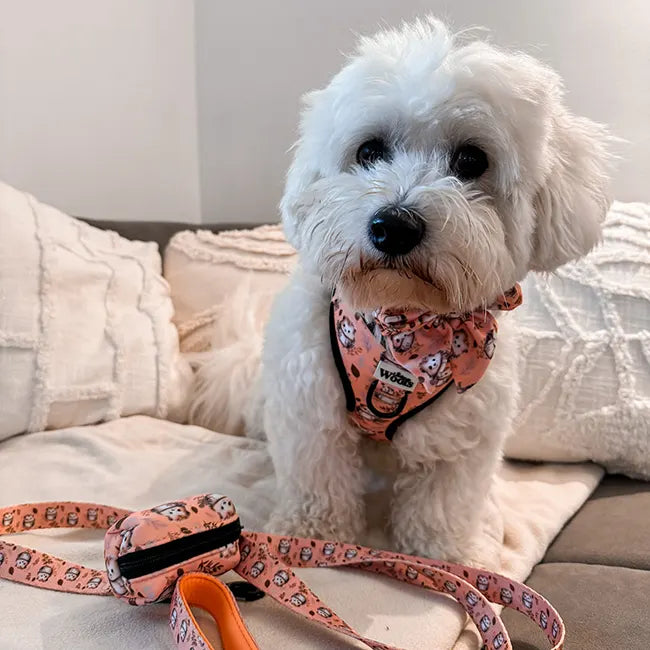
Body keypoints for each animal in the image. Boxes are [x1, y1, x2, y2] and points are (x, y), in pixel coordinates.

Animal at [249, 15, 612, 560]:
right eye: (369, 150)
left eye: (471, 160)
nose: (394, 226)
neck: (403, 323)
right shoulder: (309, 409)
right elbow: (318, 481)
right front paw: (308, 536)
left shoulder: (463, 432)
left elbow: (442, 502)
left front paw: (444, 555)